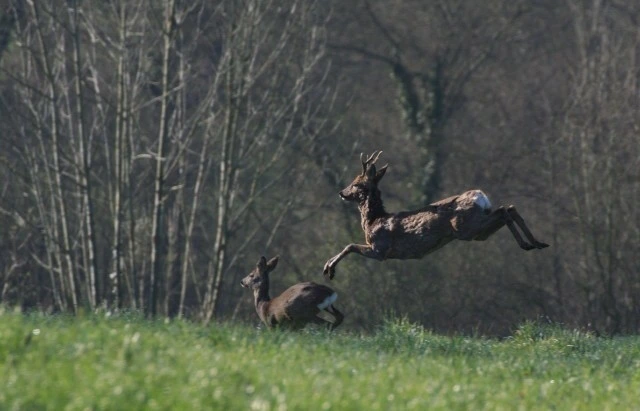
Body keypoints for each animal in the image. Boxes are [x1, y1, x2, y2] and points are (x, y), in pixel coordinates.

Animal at [323, 151, 549, 280]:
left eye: (356, 183)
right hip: (477, 230)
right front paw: (327, 267)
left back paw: (528, 244)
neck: (373, 221)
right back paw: (537, 243)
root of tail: (481, 196)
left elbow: (350, 245)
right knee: (508, 208)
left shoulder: (381, 249)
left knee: (504, 211)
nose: (341, 192)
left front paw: (329, 269)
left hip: (466, 227)